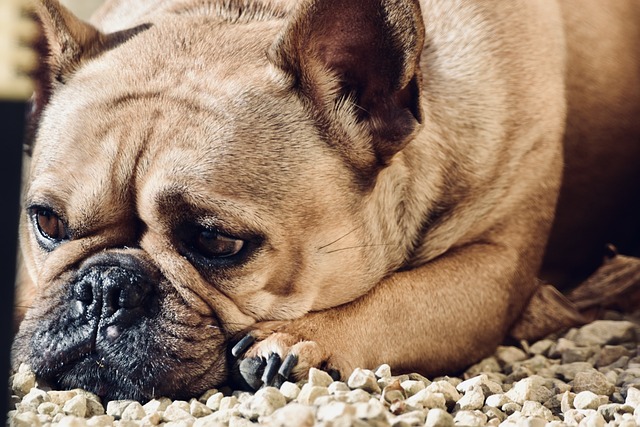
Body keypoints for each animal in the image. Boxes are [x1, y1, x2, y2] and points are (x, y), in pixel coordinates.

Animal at [12, 0, 640, 402]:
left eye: (217, 241)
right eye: (46, 223)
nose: (105, 289)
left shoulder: (493, 268)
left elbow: (402, 299)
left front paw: (298, 337)